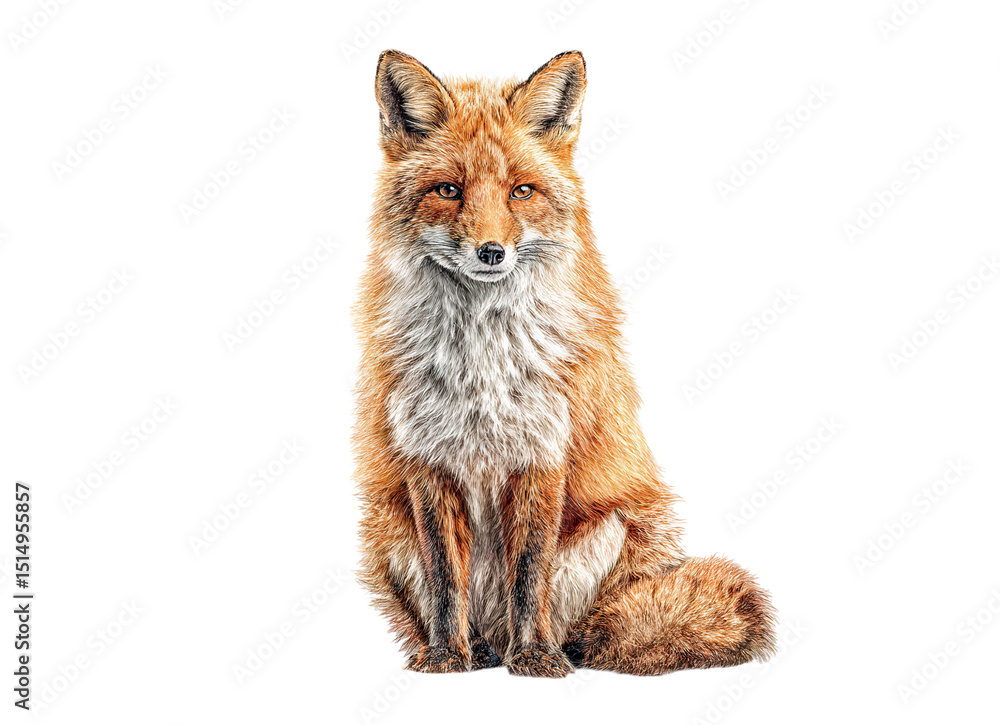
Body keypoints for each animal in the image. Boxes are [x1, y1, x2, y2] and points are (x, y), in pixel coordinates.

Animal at [354, 49, 776, 677]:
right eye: (449, 190)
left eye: (521, 191)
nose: (491, 253)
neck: (483, 362)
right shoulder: (426, 458)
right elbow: (446, 579)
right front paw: (446, 658)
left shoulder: (544, 452)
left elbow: (530, 576)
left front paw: (535, 660)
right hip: (389, 530)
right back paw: (474, 653)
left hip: (607, 531)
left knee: (577, 630)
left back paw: (543, 650)